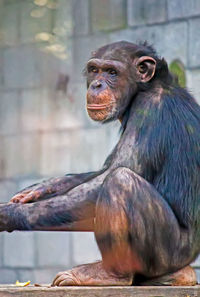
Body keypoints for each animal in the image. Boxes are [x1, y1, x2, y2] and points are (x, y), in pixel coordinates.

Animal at [0, 40, 200, 286]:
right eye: (95, 70)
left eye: (112, 72)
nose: (96, 84)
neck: (145, 89)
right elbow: (103, 169)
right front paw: (41, 188)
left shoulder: (150, 108)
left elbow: (112, 173)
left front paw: (9, 214)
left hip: (171, 252)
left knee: (120, 181)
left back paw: (110, 274)